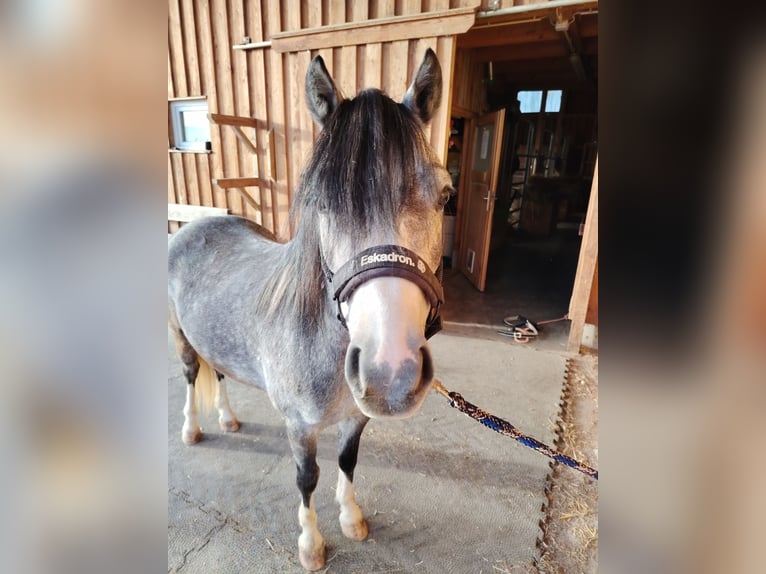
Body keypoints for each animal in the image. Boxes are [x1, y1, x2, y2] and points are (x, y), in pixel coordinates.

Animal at [168, 49, 453, 571]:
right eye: (321, 202)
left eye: (445, 196)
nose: (391, 373)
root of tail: (192, 227)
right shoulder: (300, 428)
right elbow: (307, 479)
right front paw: (311, 545)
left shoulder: (356, 418)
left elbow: (347, 462)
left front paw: (352, 520)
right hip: (181, 340)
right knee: (191, 377)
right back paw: (193, 430)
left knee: (218, 373)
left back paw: (228, 420)